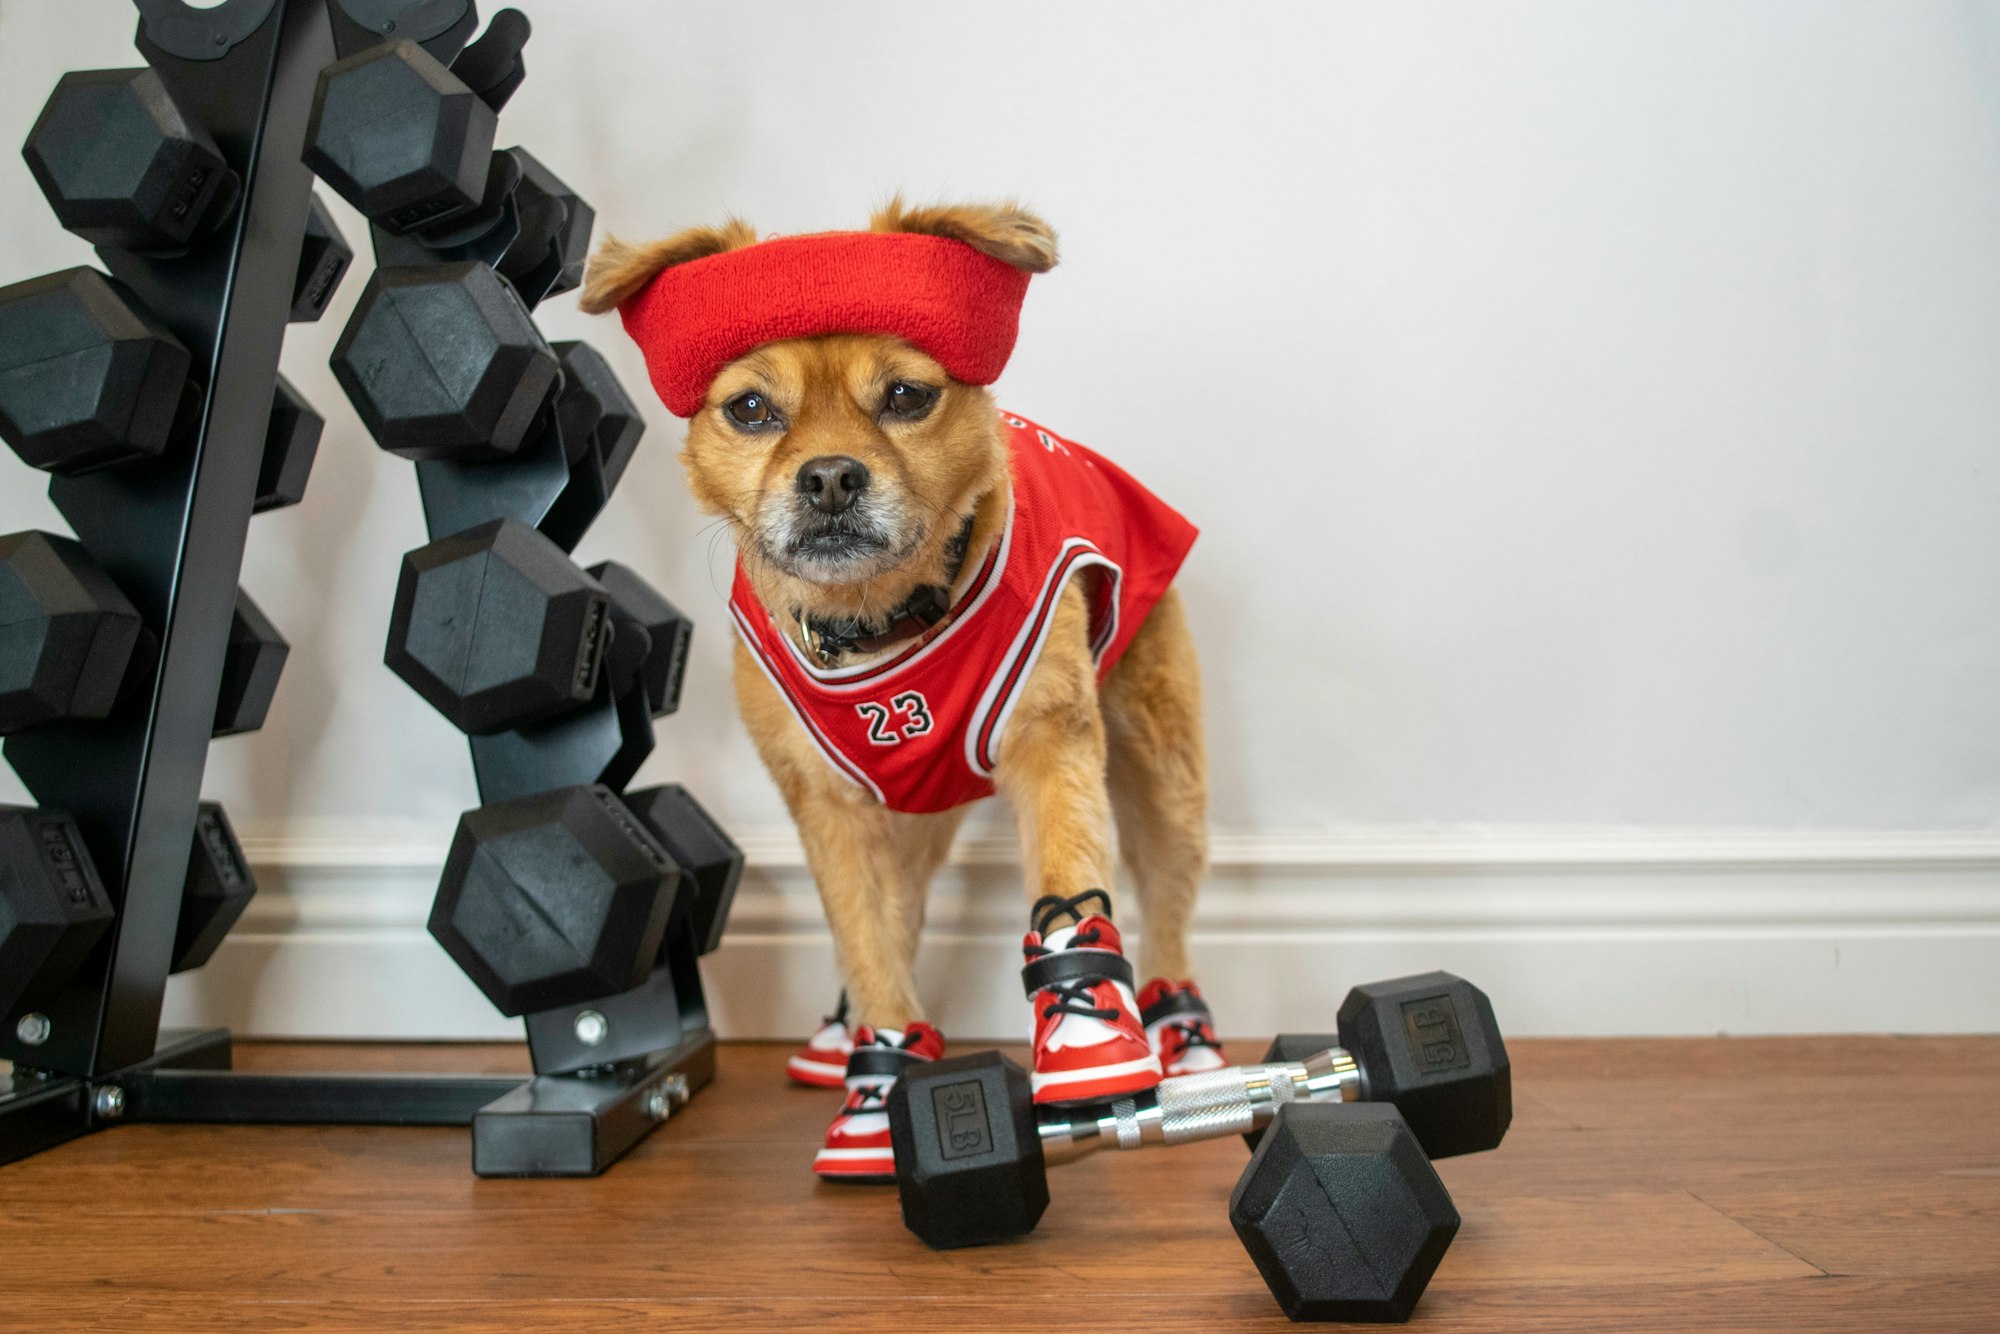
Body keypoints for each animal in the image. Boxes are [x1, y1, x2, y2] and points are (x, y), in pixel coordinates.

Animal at [584, 198, 1224, 1176]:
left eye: (907, 397)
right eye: (751, 409)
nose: (829, 476)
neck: (879, 624)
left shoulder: (1051, 746)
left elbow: (1069, 876)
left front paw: (1090, 1047)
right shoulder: (831, 807)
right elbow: (870, 937)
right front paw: (879, 1073)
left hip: (1163, 774)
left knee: (1169, 903)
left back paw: (1181, 1034)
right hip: (912, 810)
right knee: (907, 909)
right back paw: (841, 1040)